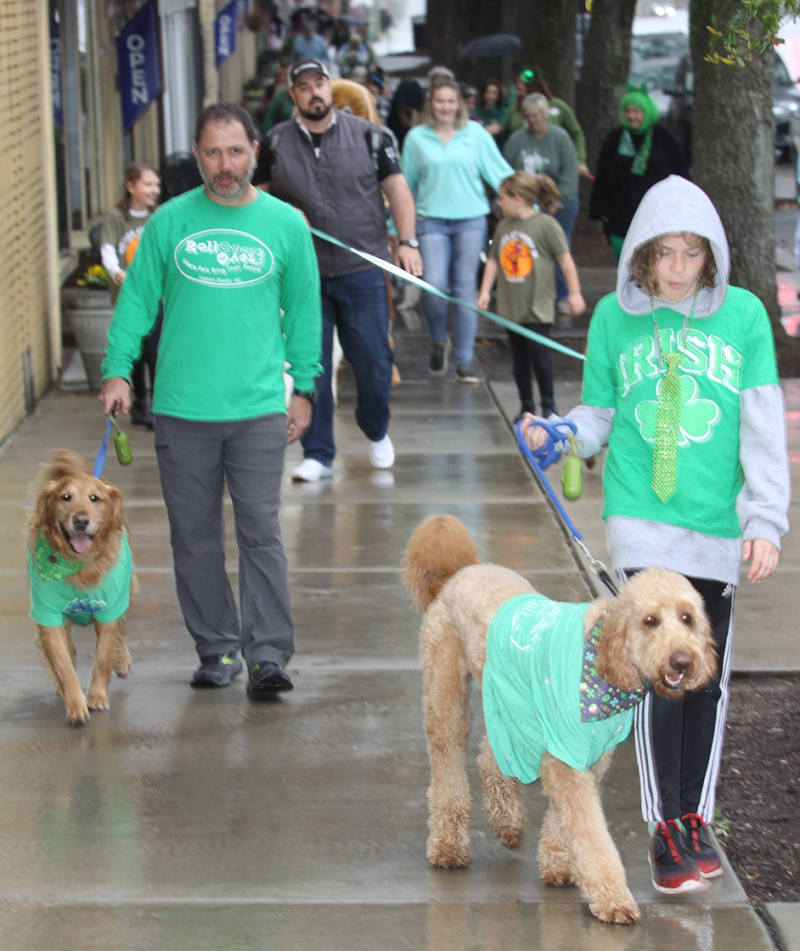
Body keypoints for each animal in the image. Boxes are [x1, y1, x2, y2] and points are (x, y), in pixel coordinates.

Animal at [27, 450, 138, 724]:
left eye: (94, 498)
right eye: (65, 497)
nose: (80, 521)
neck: (78, 566)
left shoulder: (109, 608)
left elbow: (103, 657)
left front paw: (97, 696)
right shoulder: (48, 615)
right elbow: (64, 665)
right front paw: (75, 704)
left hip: (127, 588)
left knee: (122, 626)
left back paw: (122, 659)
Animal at [404, 516, 716, 924]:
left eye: (687, 618)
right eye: (650, 621)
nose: (683, 661)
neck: (602, 659)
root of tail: (461, 571)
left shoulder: (589, 757)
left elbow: (565, 821)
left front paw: (558, 865)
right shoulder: (566, 756)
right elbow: (590, 832)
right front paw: (613, 898)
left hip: (514, 704)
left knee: (490, 757)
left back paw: (507, 823)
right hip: (447, 695)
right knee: (448, 764)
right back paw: (447, 846)